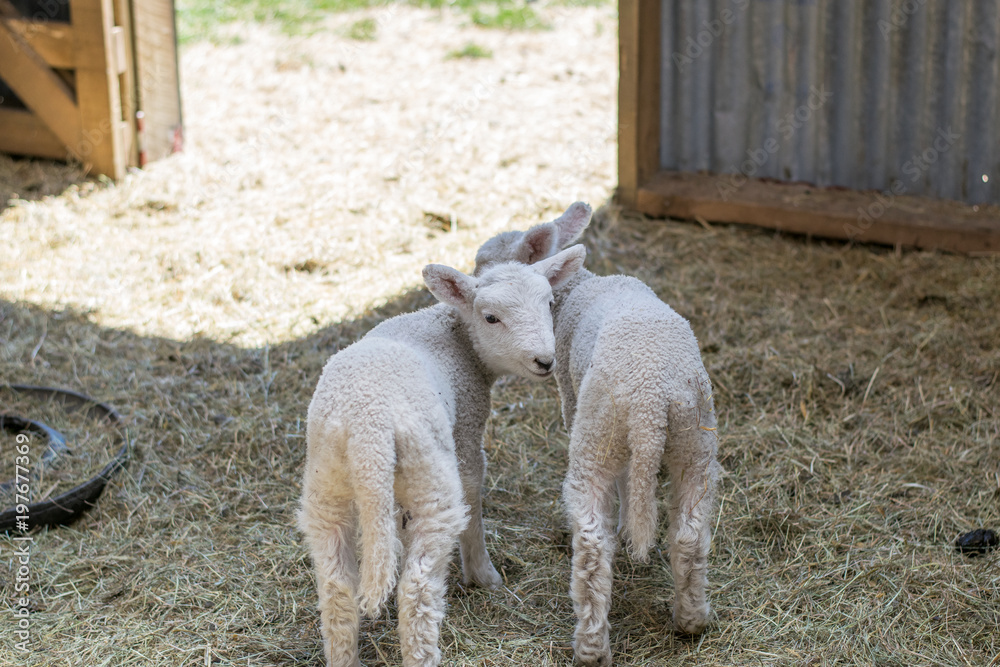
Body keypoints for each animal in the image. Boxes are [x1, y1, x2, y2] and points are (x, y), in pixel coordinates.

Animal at [298, 244, 587, 667]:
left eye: (549, 303)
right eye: (491, 317)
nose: (544, 361)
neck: (457, 336)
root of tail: (370, 429)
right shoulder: (465, 428)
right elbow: (474, 492)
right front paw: (484, 576)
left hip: (327, 482)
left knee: (337, 589)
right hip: (430, 475)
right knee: (417, 589)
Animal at [474, 203, 721, 665]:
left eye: (483, 267)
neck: (574, 289)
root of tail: (651, 399)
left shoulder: (573, 400)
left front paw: (623, 529)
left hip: (597, 434)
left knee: (591, 548)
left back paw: (590, 646)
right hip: (694, 440)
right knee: (690, 534)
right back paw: (691, 620)